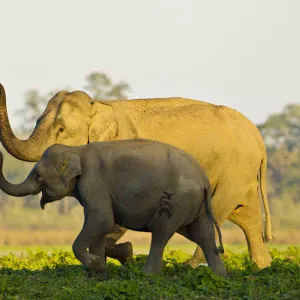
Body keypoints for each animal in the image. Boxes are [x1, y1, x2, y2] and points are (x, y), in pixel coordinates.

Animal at [0, 140, 226, 276]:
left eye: (38, 176)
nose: (1, 156)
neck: (76, 148)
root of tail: (204, 179)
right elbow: (99, 226)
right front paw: (98, 271)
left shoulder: (93, 183)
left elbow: (102, 220)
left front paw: (93, 263)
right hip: (196, 205)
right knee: (204, 235)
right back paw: (221, 276)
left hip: (177, 200)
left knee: (161, 232)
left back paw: (147, 275)